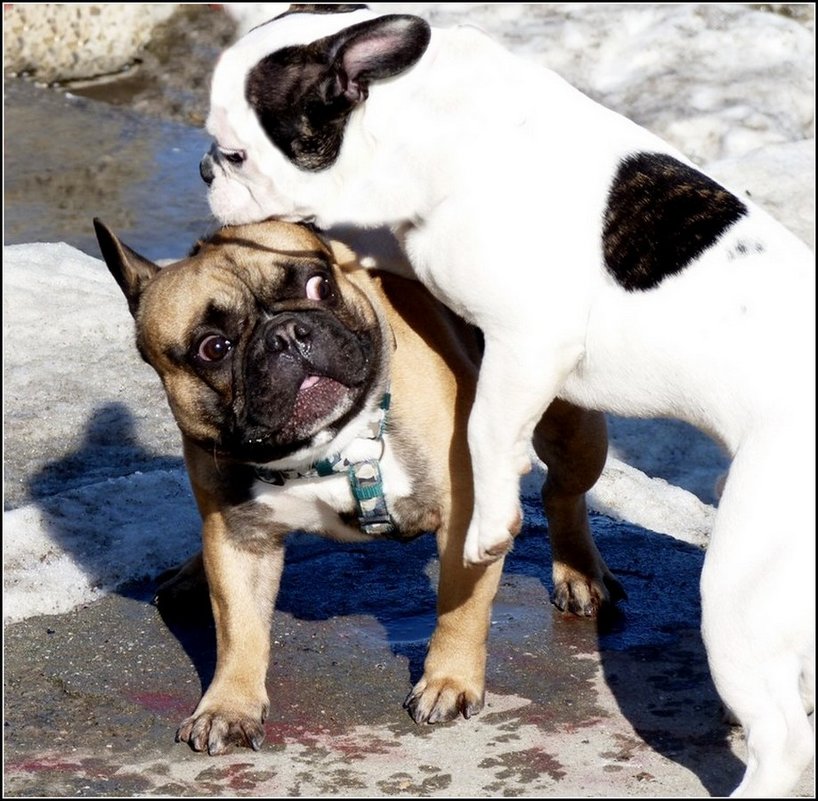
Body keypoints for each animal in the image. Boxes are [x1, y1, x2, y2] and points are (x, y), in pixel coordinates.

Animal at [201, 4, 812, 792]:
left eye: (237, 154)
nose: (204, 169)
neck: (431, 117)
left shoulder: (527, 340)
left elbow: (488, 432)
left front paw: (490, 522)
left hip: (743, 584)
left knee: (784, 739)